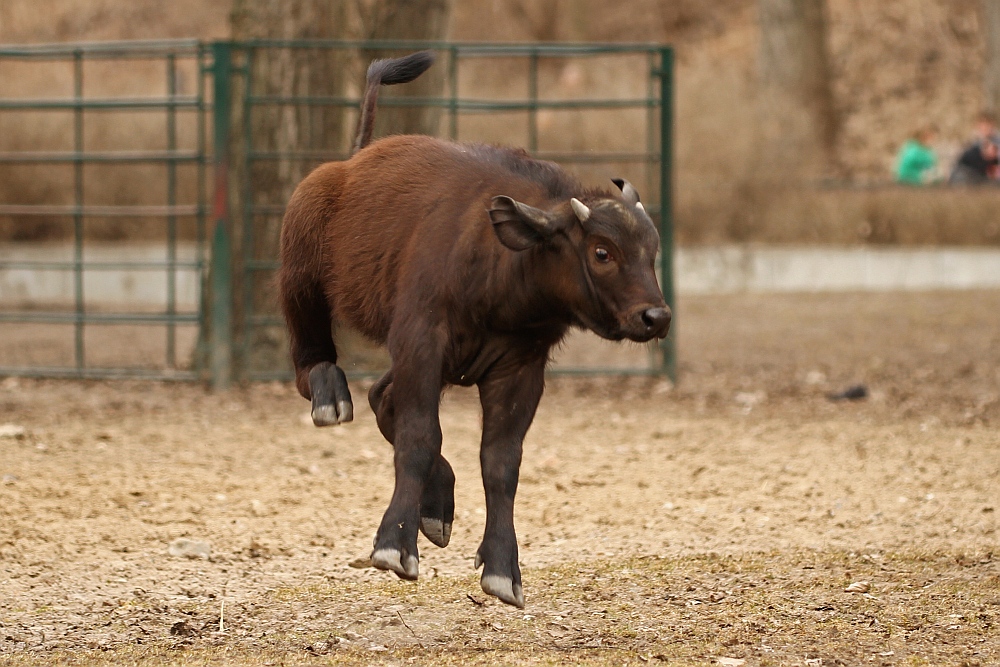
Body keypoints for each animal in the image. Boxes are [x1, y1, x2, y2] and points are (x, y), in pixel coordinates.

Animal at [280, 49, 672, 608]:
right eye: (602, 252)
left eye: (651, 251)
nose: (655, 317)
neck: (498, 274)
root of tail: (350, 164)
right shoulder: (422, 342)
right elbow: (420, 436)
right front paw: (394, 545)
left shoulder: (519, 369)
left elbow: (500, 463)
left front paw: (503, 567)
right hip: (301, 279)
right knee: (314, 365)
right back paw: (331, 396)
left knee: (382, 395)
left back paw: (437, 505)